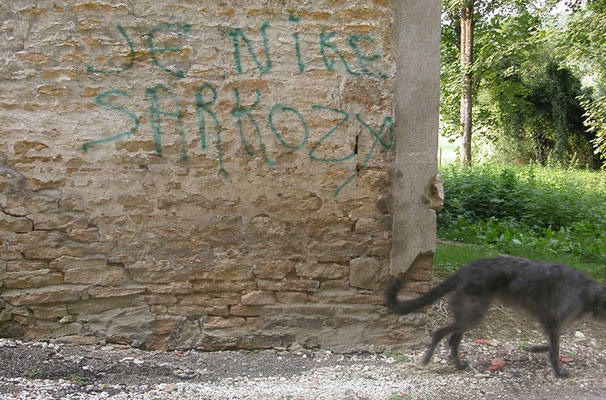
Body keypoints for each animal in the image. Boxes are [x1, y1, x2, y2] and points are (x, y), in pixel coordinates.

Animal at [388, 256, 606, 378]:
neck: (589, 293)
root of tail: (461, 272)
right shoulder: (554, 324)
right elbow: (554, 350)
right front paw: (559, 373)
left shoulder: (549, 323)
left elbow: (549, 346)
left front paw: (534, 349)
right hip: (472, 314)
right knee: (440, 333)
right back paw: (428, 359)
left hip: (470, 314)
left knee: (453, 339)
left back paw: (459, 364)